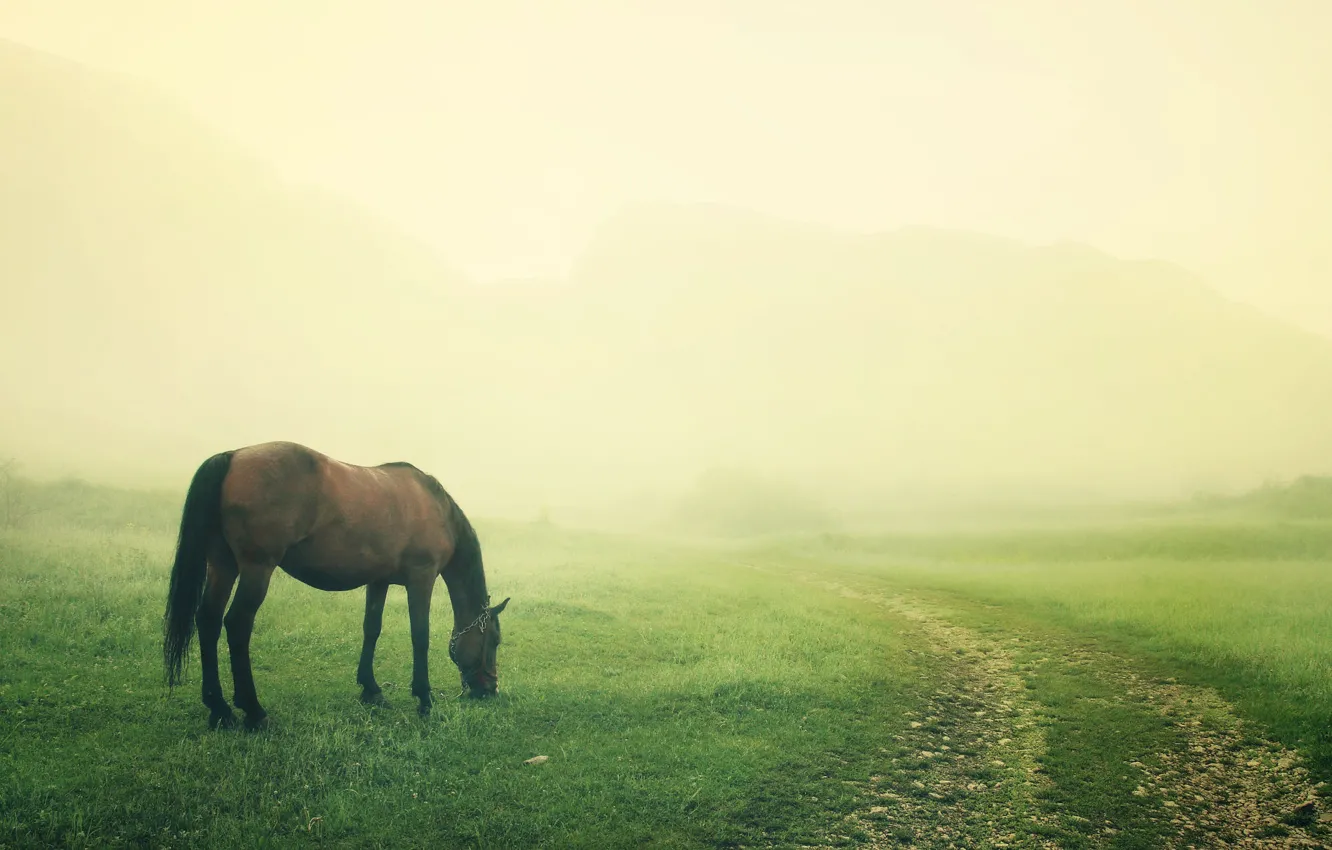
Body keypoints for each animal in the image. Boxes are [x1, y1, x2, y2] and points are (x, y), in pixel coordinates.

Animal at [161, 441, 509, 730]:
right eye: (494, 640)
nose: (490, 689)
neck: (435, 508)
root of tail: (234, 456)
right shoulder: (421, 578)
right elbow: (420, 636)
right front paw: (424, 699)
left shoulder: (379, 581)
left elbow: (372, 628)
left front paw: (371, 689)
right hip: (256, 569)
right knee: (236, 624)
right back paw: (253, 710)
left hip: (224, 566)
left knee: (208, 620)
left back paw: (219, 709)